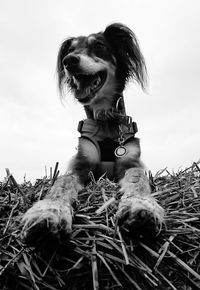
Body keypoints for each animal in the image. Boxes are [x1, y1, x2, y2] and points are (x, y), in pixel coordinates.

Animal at [21, 23, 164, 244]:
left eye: (98, 45)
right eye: (71, 50)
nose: (69, 61)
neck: (105, 120)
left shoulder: (130, 162)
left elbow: (137, 177)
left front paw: (141, 207)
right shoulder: (80, 164)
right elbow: (62, 183)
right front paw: (49, 212)